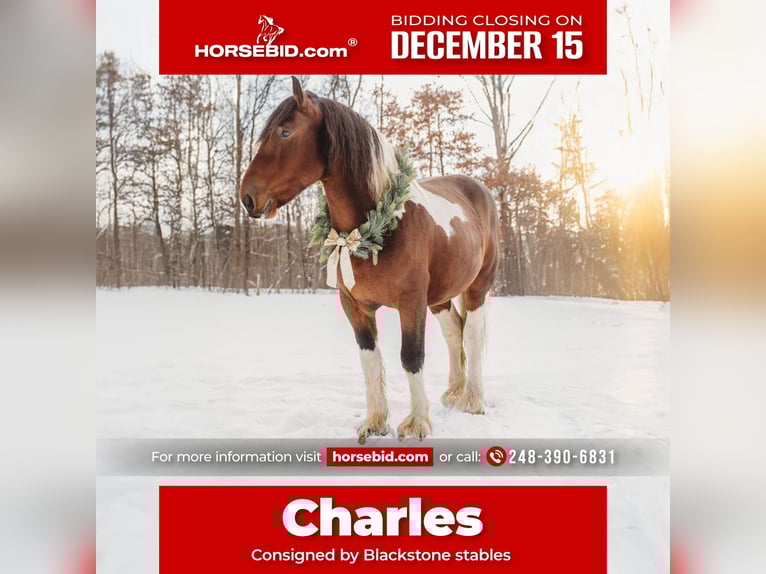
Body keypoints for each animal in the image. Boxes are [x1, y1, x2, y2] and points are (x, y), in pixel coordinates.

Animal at [240, 77, 499, 443]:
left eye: (285, 132)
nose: (247, 197)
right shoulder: (356, 306)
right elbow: (369, 358)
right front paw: (375, 422)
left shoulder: (411, 302)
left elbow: (411, 356)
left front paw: (417, 423)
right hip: (441, 297)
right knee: (454, 332)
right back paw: (454, 391)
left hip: (478, 286)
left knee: (473, 333)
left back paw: (473, 400)